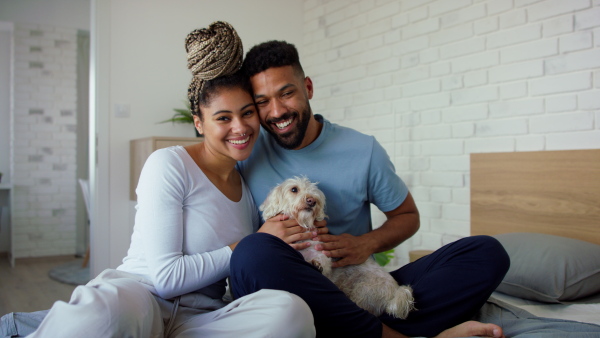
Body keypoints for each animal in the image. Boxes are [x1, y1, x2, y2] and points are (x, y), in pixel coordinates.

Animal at [260, 177, 414, 320]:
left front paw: (316, 264)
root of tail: (396, 292)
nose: (312, 200)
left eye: (314, 192)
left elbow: (323, 262)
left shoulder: (323, 255)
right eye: (294, 189)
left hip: (363, 290)